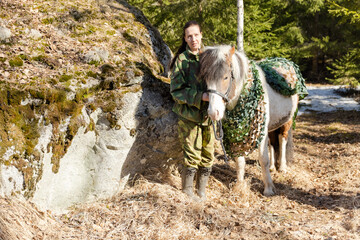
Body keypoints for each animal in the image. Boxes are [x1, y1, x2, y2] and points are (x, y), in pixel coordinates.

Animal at [200, 46, 298, 196]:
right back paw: (273, 168)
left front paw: (268, 188)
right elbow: (239, 161)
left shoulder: (261, 130)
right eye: (206, 78)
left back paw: (282, 167)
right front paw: (239, 186)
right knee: (272, 142)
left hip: (287, 121)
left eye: (226, 77)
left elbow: (263, 159)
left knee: (282, 140)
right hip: (271, 125)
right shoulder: (236, 134)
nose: (213, 112)